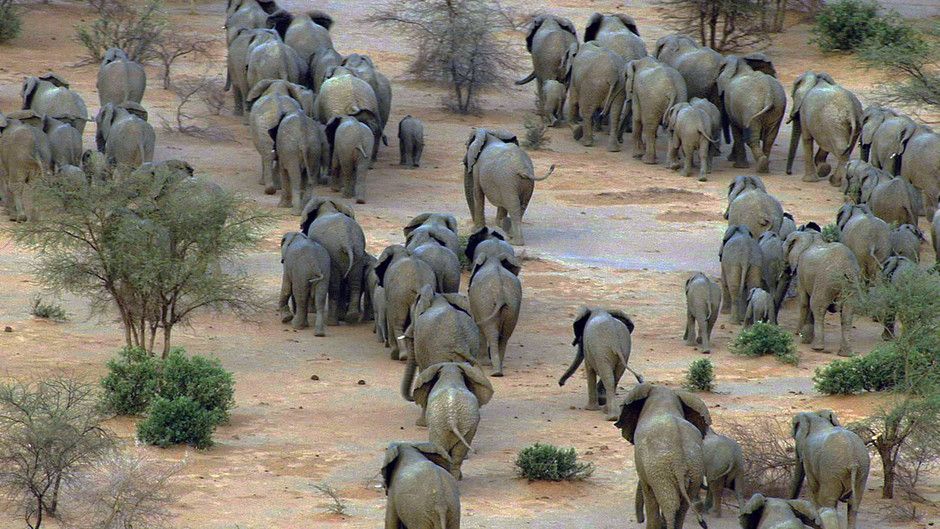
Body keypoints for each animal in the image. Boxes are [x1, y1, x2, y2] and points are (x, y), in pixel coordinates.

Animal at [615, 384, 711, 529]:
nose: (640, 520)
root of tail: (679, 462)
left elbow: (648, 491)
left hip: (660, 470)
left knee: (669, 505)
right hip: (695, 470)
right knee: (681, 508)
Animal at [782, 227, 860, 356]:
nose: (796, 333)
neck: (811, 237)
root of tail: (846, 268)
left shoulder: (801, 272)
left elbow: (804, 302)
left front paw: (801, 336)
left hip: (825, 281)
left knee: (817, 306)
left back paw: (817, 348)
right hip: (852, 284)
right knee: (848, 313)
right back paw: (845, 353)